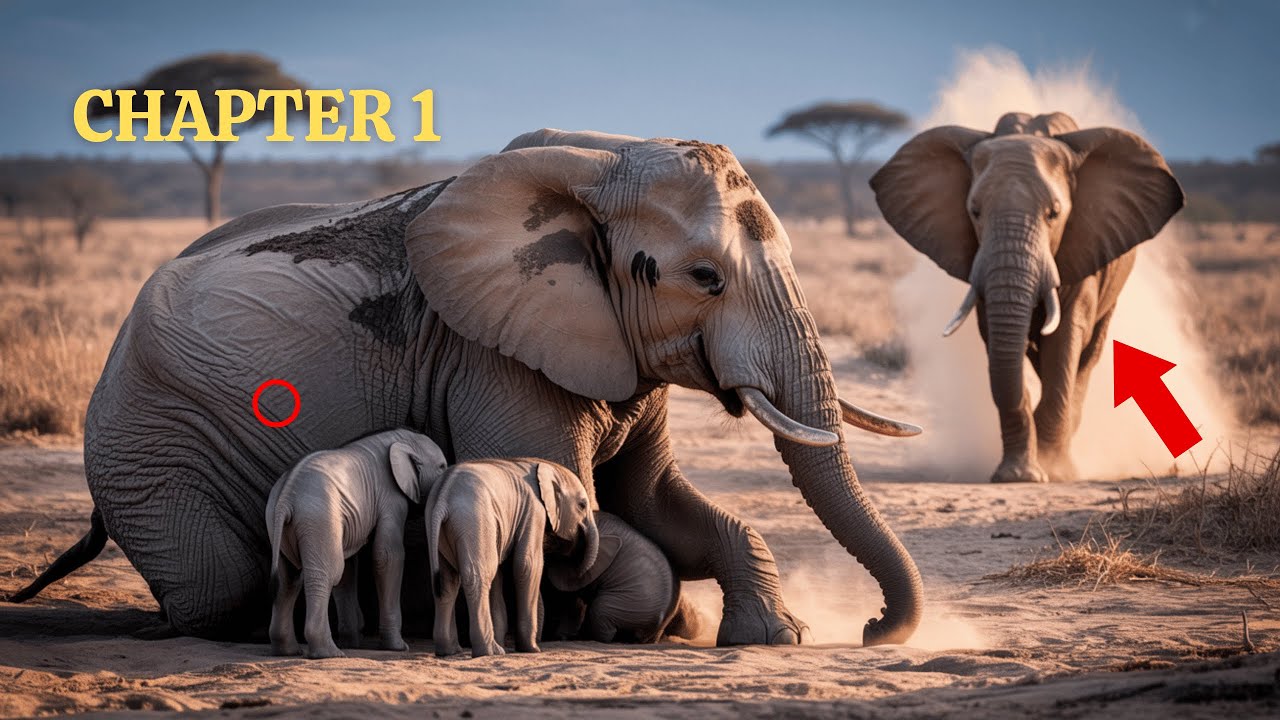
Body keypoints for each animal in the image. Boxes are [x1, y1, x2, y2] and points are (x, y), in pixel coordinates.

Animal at [266, 428, 448, 658]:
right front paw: (398, 647)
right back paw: (330, 653)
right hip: (318, 519)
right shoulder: (391, 497)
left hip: (279, 523)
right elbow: (387, 556)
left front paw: (352, 642)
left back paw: (288, 651)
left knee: (288, 579)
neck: (400, 439)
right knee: (327, 573)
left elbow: (350, 567)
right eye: (442, 466)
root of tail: (285, 499)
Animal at [427, 458, 598, 657]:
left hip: (443, 530)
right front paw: (532, 650)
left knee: (448, 582)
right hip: (474, 520)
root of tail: (443, 498)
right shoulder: (534, 511)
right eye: (582, 505)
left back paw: (450, 651)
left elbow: (500, 573)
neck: (544, 466)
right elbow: (527, 565)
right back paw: (489, 651)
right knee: (479, 576)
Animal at [871, 112, 1184, 483]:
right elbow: (998, 343)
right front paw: (1018, 476)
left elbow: (1065, 338)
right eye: (975, 211)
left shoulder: (1083, 248)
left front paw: (1052, 472)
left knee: (1086, 358)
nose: (1030, 472)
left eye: (1054, 213)